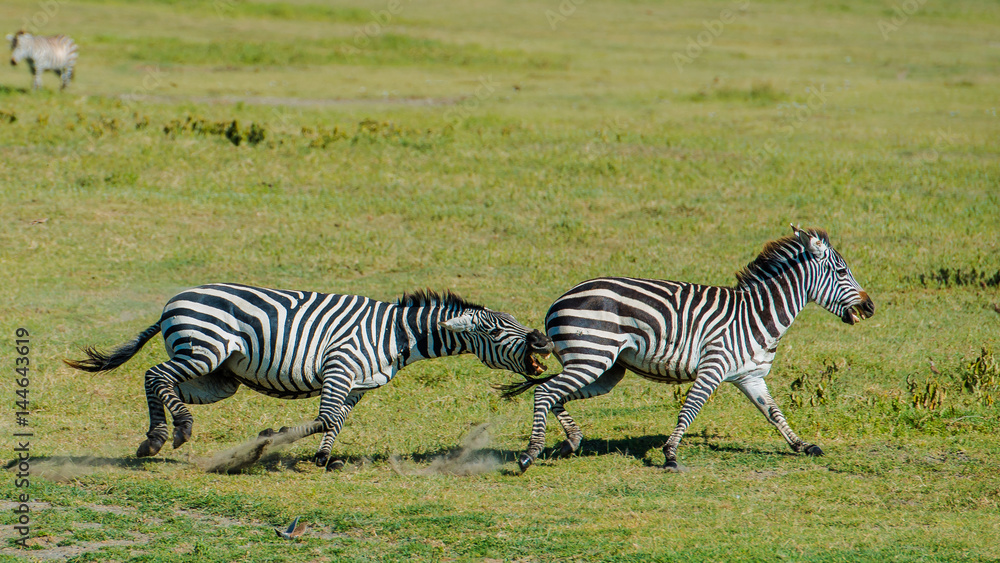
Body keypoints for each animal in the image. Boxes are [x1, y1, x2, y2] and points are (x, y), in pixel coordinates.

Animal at [65, 283, 554, 469]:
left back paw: (155, 439)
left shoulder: (357, 384)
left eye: (515, 322)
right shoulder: (339, 365)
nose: (543, 340)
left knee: (160, 381)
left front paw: (322, 457)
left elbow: (335, 420)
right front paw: (267, 441)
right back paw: (173, 432)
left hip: (220, 378)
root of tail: (173, 300)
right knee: (154, 374)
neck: (395, 334)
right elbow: (324, 417)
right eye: (496, 330)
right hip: (203, 351)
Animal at [501, 226, 875, 473]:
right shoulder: (713, 366)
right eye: (842, 271)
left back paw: (572, 442)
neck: (757, 314)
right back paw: (529, 454)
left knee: (555, 395)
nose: (870, 307)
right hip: (592, 358)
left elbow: (774, 413)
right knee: (545, 393)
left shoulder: (751, 376)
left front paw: (802, 445)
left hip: (605, 368)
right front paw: (670, 455)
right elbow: (690, 409)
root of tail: (558, 300)